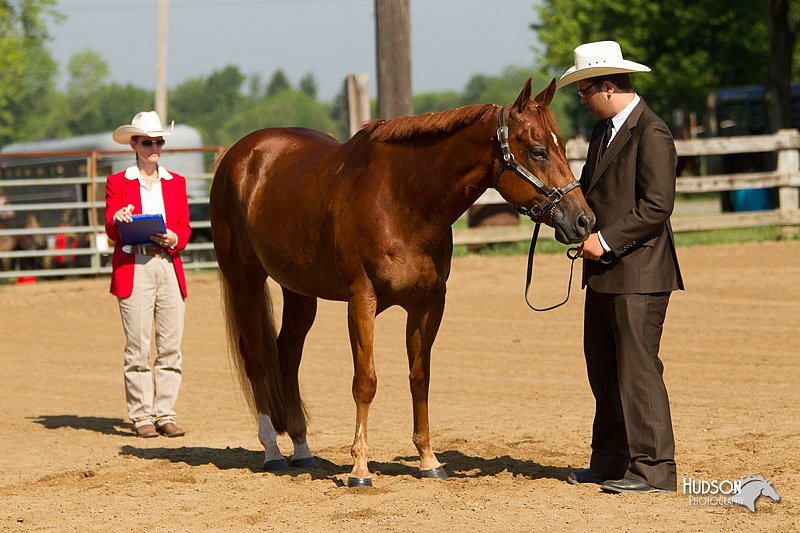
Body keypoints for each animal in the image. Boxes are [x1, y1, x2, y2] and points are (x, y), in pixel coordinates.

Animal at [209, 79, 596, 486]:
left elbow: (419, 377)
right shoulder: (361, 300)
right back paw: (272, 451)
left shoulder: (429, 303)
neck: (400, 199)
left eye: (563, 145)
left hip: (299, 290)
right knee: (257, 357)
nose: (584, 220)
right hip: (244, 280)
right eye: (538, 151)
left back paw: (301, 448)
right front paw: (360, 469)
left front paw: (429, 460)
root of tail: (239, 155)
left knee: (287, 354)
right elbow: (365, 380)